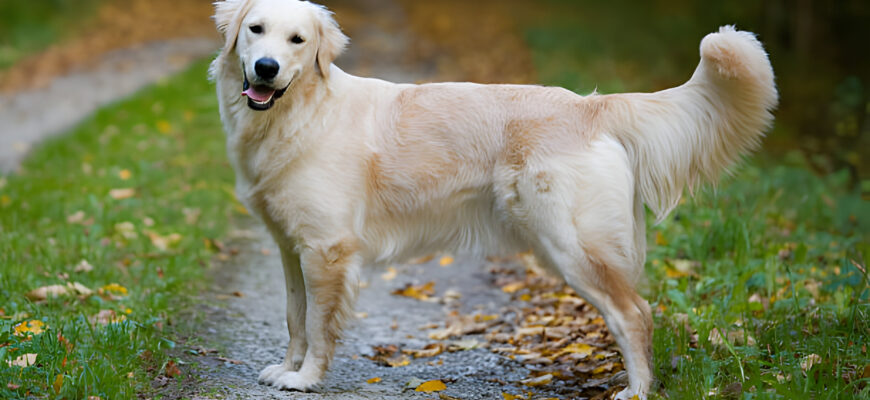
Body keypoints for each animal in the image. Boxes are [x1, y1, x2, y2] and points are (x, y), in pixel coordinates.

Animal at [209, 1, 776, 398]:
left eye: (298, 40)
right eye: (256, 29)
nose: (266, 67)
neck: (301, 111)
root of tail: (591, 106)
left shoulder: (327, 250)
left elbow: (319, 325)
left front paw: (306, 380)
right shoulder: (292, 249)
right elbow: (294, 317)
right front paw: (287, 368)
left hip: (574, 247)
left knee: (635, 314)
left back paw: (636, 391)